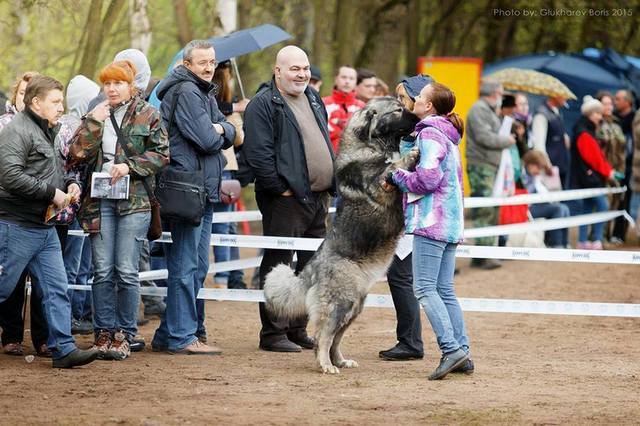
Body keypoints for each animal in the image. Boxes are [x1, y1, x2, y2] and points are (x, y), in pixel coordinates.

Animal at [262, 96, 418, 372]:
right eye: (398, 110)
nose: (419, 118)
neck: (370, 146)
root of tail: (312, 267)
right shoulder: (381, 185)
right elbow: (391, 168)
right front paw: (409, 155)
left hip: (355, 305)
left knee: (334, 338)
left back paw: (340, 361)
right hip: (342, 302)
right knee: (323, 336)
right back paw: (326, 365)